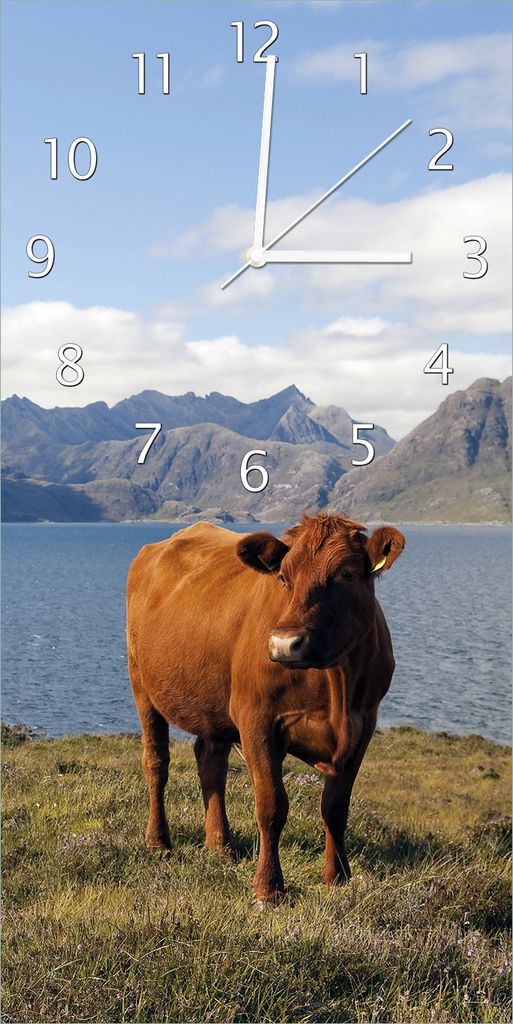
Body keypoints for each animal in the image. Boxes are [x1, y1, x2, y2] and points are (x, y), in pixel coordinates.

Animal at [126, 513, 405, 902]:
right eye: (284, 577)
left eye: (347, 573)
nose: (285, 643)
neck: (335, 683)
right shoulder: (256, 718)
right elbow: (271, 805)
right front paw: (268, 887)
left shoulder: (363, 724)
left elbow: (335, 806)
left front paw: (337, 877)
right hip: (142, 685)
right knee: (156, 763)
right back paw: (159, 842)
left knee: (210, 760)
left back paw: (220, 845)